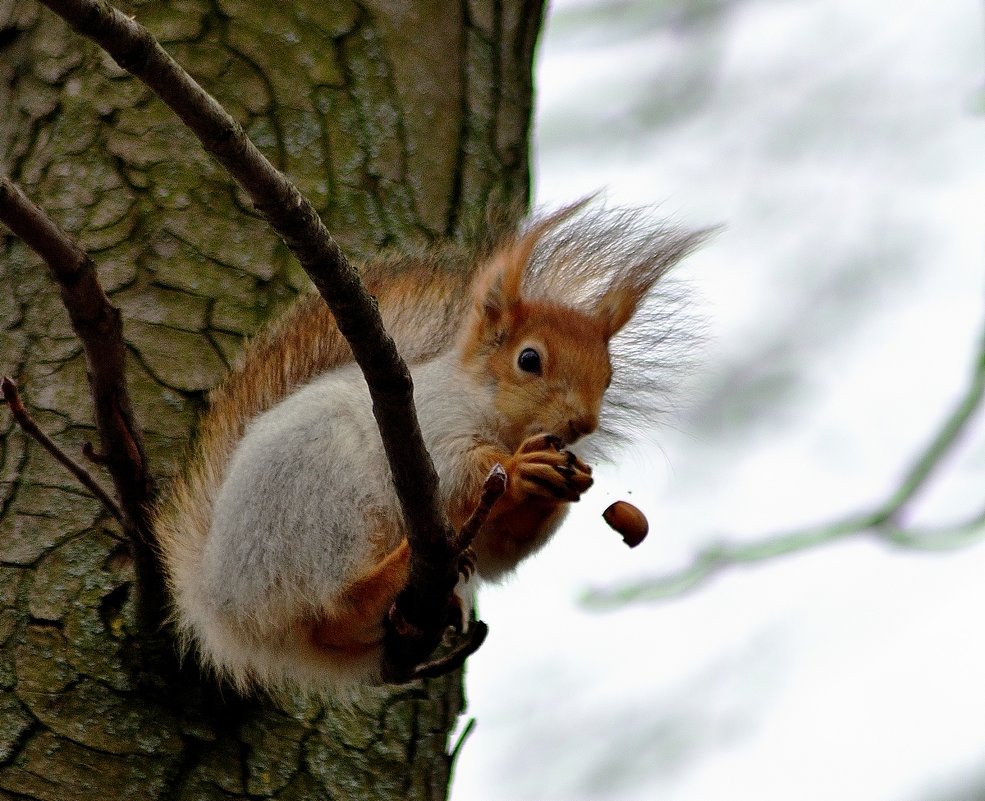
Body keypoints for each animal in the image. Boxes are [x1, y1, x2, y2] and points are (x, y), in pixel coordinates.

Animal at [152, 200, 708, 692]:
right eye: (529, 359)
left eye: (608, 377)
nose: (583, 422)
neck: (493, 413)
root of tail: (219, 603)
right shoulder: (431, 423)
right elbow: (457, 474)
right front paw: (520, 471)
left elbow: (503, 548)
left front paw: (561, 486)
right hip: (320, 505)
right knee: (331, 609)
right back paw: (383, 582)